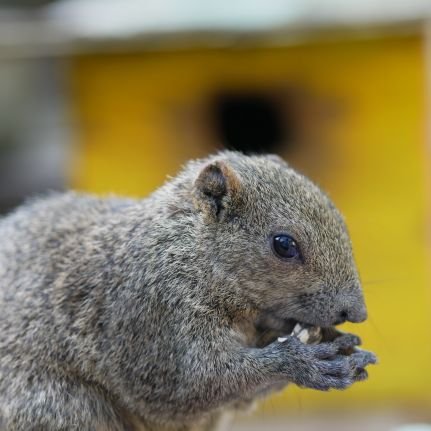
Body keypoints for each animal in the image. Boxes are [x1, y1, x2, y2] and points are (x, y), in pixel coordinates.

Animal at [0, 152, 378, 431]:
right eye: (284, 244)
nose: (357, 312)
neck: (191, 253)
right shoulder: (151, 312)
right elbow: (190, 385)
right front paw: (303, 362)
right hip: (63, 406)